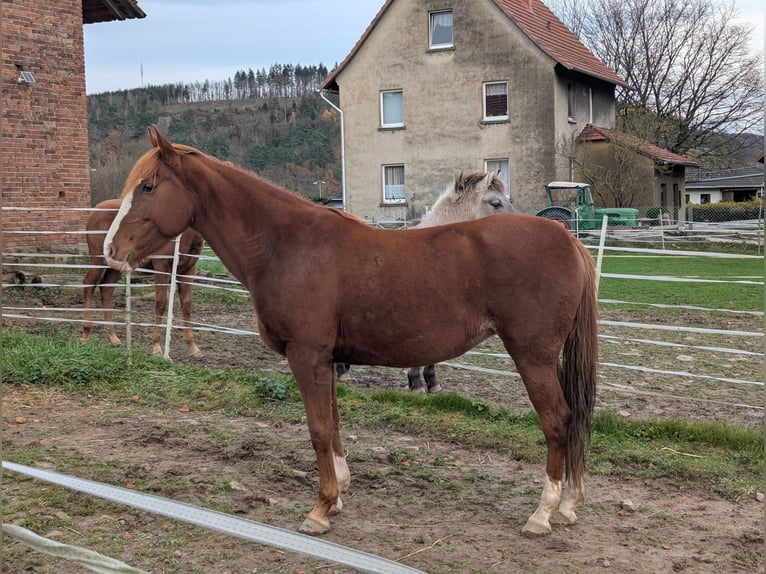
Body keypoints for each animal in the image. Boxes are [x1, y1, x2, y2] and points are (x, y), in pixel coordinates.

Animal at [80, 198, 205, 357]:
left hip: (115, 266)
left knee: (106, 289)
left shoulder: (188, 269)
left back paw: (113, 337)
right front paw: (156, 347)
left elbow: (187, 304)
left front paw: (193, 347)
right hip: (98, 260)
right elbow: (161, 303)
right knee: (89, 285)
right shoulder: (162, 266)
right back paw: (85, 334)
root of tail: (96, 210)